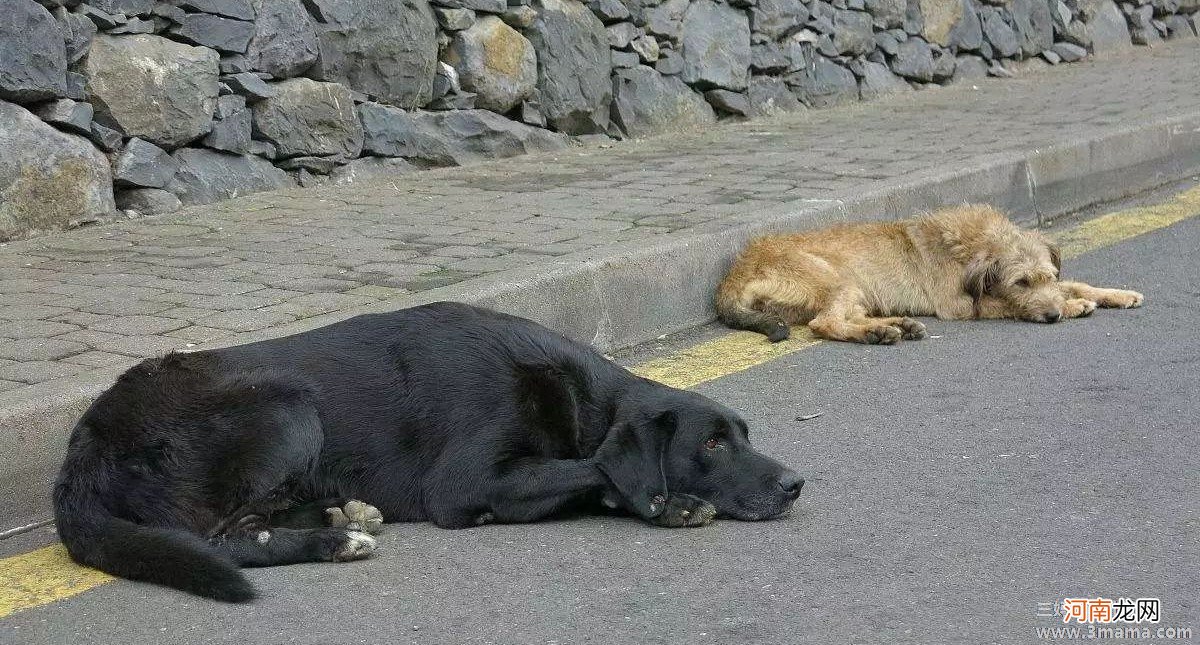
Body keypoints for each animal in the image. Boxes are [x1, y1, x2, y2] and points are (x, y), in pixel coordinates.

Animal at [58, 299, 806, 597]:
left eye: (743, 433)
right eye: (712, 442)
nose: (795, 483)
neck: (581, 398)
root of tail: (84, 442)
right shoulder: (467, 482)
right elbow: (592, 468)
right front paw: (666, 502)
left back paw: (341, 513)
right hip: (285, 407)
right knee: (223, 537)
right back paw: (332, 539)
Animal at [710, 203, 1142, 342]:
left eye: (1047, 277)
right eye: (1021, 282)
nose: (1051, 316)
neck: (972, 242)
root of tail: (737, 268)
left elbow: (1075, 282)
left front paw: (1116, 294)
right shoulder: (961, 306)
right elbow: (1006, 305)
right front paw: (1072, 307)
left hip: (855, 291)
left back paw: (895, 325)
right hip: (839, 279)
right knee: (825, 323)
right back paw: (877, 333)